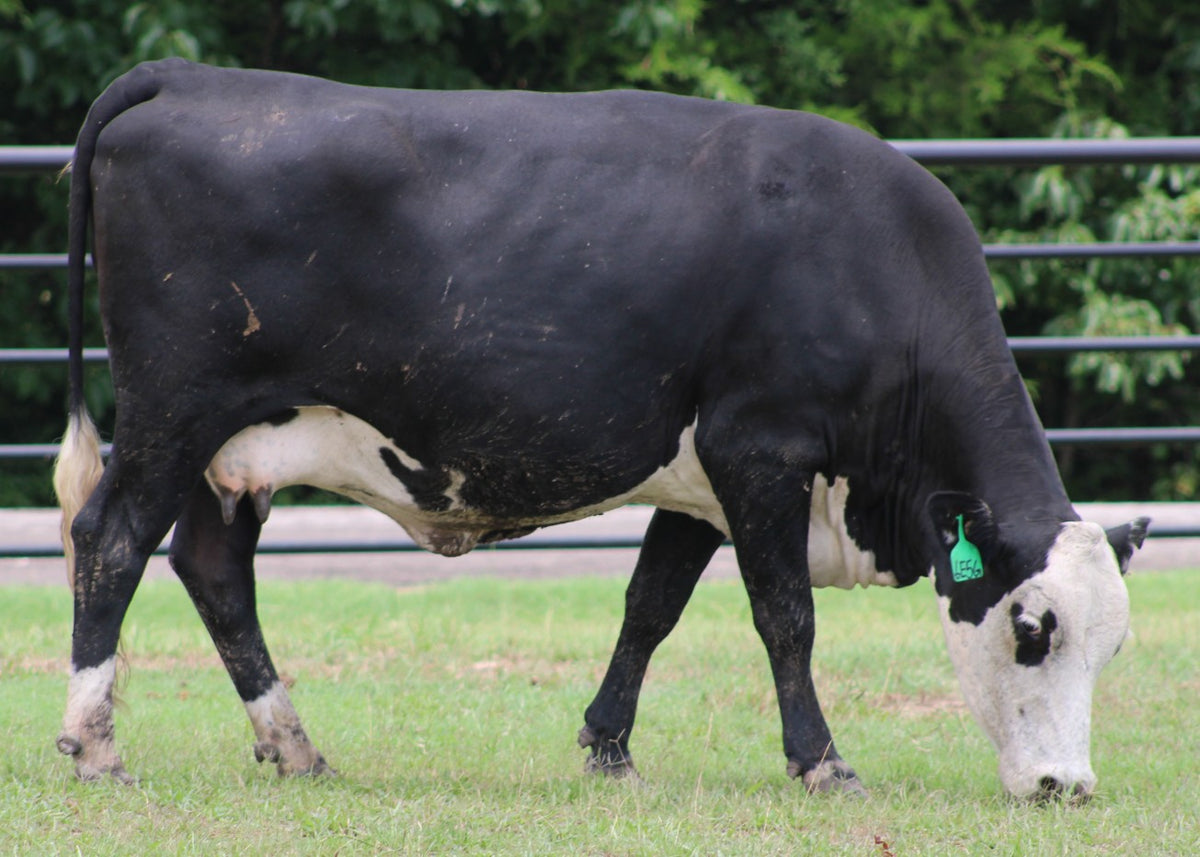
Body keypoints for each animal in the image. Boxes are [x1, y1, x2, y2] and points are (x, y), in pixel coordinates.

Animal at [54, 59, 1148, 801]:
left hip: (230, 451)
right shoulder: (762, 449)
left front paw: (609, 745)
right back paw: (95, 741)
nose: (1067, 785)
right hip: (172, 414)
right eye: (1032, 628)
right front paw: (821, 759)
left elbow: (649, 606)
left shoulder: (703, 476)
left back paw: (292, 744)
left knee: (211, 569)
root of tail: (189, 75)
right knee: (110, 539)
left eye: (1111, 647)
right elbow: (786, 615)